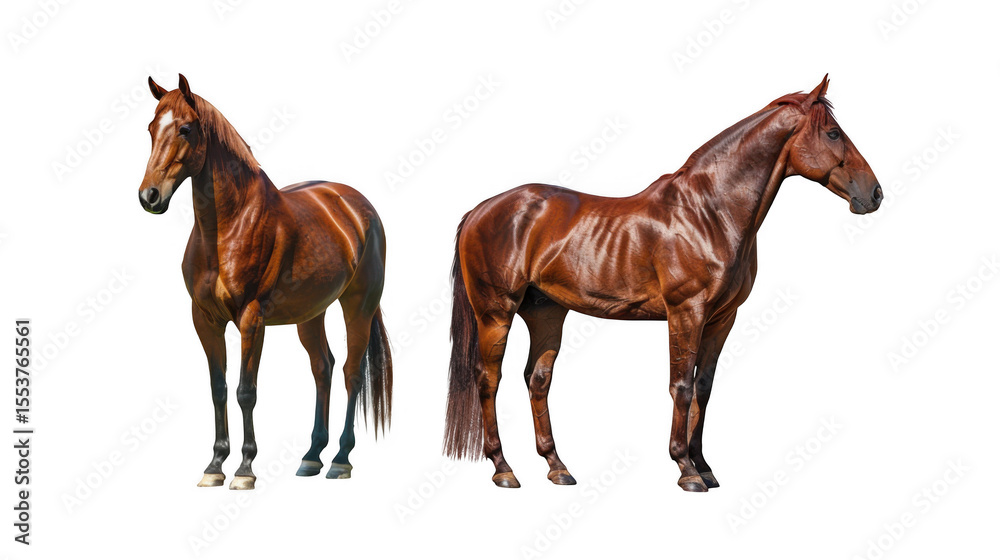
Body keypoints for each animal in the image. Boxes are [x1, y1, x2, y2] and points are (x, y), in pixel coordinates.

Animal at [139, 75, 392, 489]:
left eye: (185, 129)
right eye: (150, 129)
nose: (149, 196)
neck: (229, 226)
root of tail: (356, 206)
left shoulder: (250, 320)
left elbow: (246, 391)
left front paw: (244, 469)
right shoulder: (204, 320)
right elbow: (219, 388)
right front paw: (214, 465)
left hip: (358, 306)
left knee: (351, 373)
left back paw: (340, 459)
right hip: (312, 313)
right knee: (322, 368)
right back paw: (311, 456)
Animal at [443, 75, 882, 491]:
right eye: (833, 133)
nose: (874, 194)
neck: (709, 212)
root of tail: (480, 210)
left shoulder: (722, 319)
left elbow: (703, 387)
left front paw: (704, 467)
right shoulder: (686, 311)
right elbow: (681, 386)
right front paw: (686, 469)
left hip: (546, 312)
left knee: (537, 379)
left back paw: (557, 467)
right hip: (496, 312)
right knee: (489, 379)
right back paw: (503, 468)